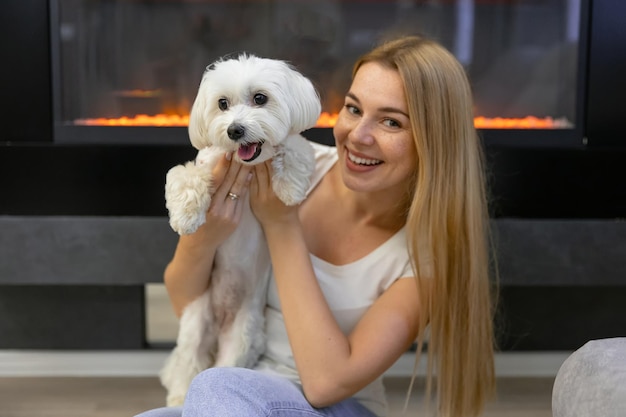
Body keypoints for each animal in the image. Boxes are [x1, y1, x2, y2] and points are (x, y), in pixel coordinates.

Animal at [158, 53, 320, 404]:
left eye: (260, 98)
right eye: (222, 104)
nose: (234, 130)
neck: (247, 166)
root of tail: (222, 320)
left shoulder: (297, 146)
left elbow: (296, 149)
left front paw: (289, 188)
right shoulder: (206, 162)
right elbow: (184, 176)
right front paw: (186, 216)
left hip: (243, 335)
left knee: (221, 366)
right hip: (196, 324)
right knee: (188, 364)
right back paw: (179, 397)